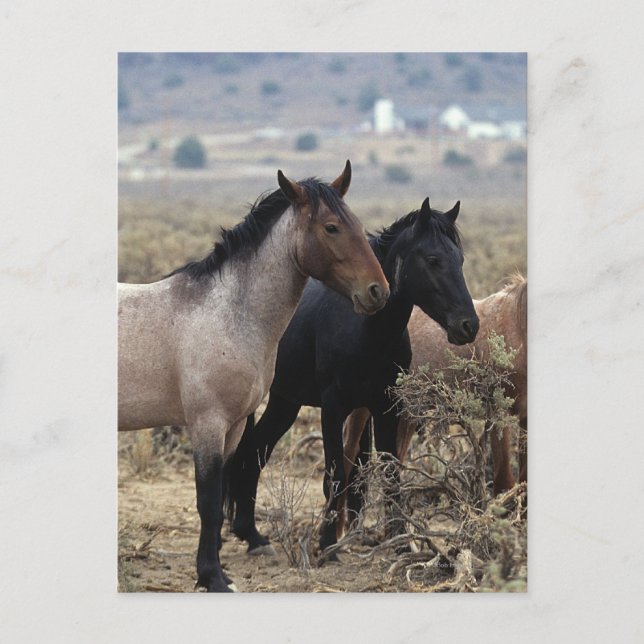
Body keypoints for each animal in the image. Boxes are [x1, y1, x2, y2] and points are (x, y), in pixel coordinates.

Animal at [118, 162, 390, 592]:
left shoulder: (233, 427)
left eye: (358, 224)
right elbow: (209, 502)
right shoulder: (208, 425)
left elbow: (223, 493)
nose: (378, 291)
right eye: (331, 227)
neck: (228, 314)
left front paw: (217, 571)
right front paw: (212, 578)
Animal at [225, 197, 479, 557]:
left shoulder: (385, 407)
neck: (365, 329)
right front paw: (327, 543)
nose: (468, 325)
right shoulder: (334, 407)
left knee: (254, 451)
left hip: (285, 402)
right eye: (433, 260)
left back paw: (252, 536)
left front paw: (401, 542)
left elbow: (389, 472)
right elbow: (335, 472)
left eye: (460, 259)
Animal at [341, 274, 528, 532]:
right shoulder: (499, 415)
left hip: (405, 415)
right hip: (362, 410)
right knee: (349, 455)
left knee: (393, 464)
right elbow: (504, 483)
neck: (517, 326)